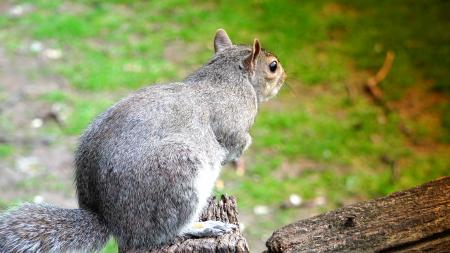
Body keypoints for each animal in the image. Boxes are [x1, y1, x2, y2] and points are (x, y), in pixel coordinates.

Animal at [0, 28, 286, 252]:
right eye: (272, 66)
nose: (284, 77)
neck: (227, 75)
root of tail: (110, 219)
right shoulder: (232, 123)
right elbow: (236, 142)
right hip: (177, 174)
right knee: (163, 232)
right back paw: (202, 226)